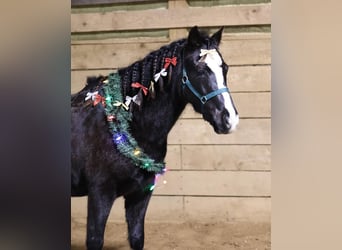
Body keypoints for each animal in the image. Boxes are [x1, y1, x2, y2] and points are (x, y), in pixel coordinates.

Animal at [71, 26, 238, 249]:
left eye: (225, 68)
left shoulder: (140, 195)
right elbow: (95, 240)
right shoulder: (99, 194)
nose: (229, 119)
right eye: (200, 69)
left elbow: (137, 238)